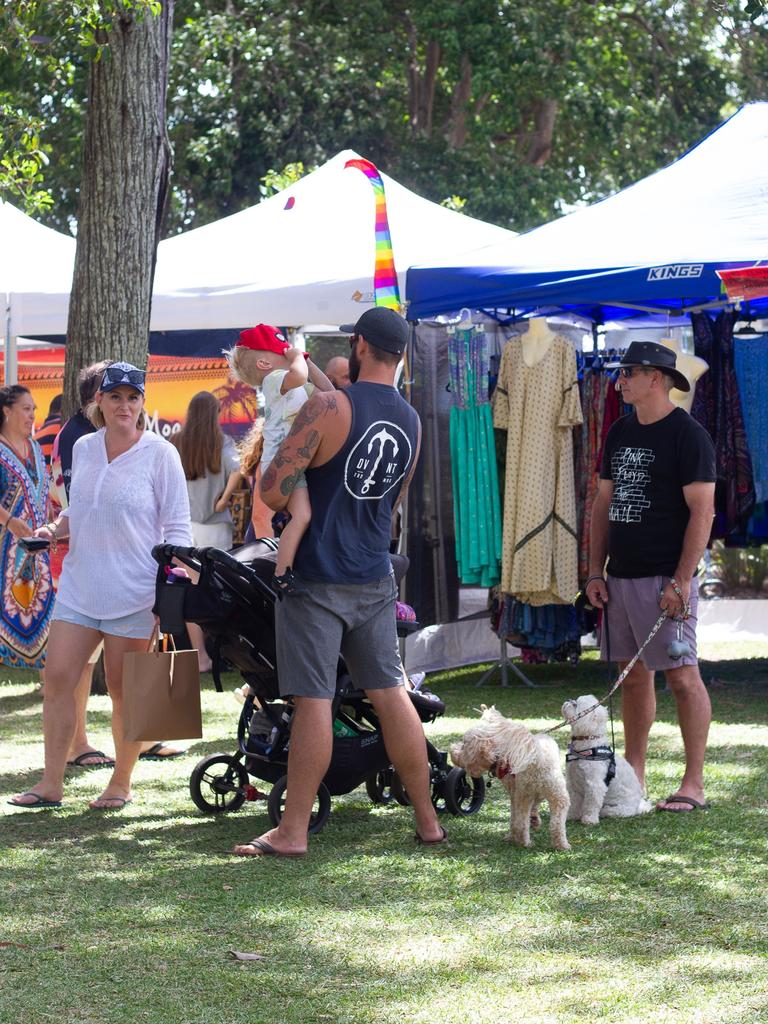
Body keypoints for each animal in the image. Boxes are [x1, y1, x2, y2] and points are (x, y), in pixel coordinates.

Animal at [450, 708, 573, 851]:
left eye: (464, 745)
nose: (452, 751)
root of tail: (536, 754)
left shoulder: (515, 793)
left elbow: (515, 818)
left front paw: (513, 835)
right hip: (553, 795)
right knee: (553, 823)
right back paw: (558, 844)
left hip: (535, 793)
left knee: (526, 822)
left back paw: (527, 841)